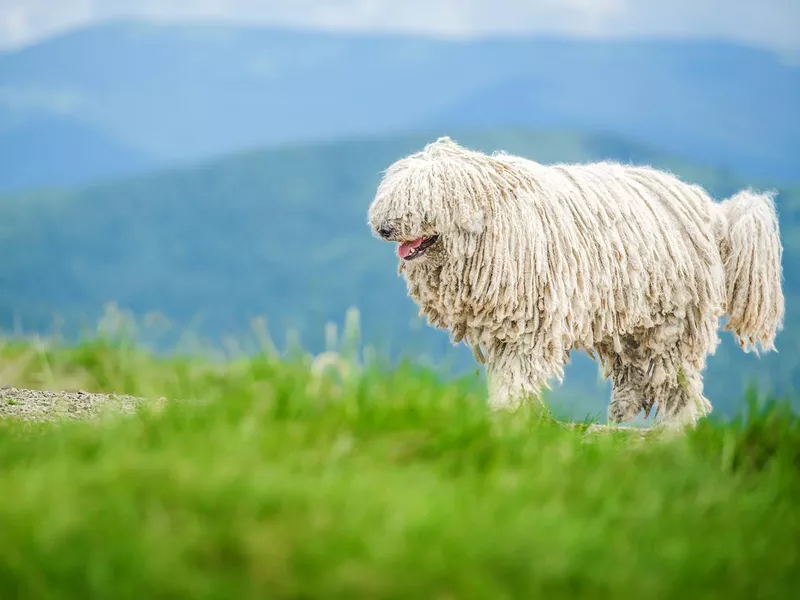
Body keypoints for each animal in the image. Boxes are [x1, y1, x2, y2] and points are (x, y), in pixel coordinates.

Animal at [370, 137, 788, 426]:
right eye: (390, 197)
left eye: (418, 200)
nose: (384, 228)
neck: (494, 223)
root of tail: (713, 212)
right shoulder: (504, 323)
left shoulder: (531, 321)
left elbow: (516, 370)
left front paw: (508, 412)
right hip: (630, 317)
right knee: (636, 368)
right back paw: (622, 412)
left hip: (673, 318)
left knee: (675, 376)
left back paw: (675, 429)